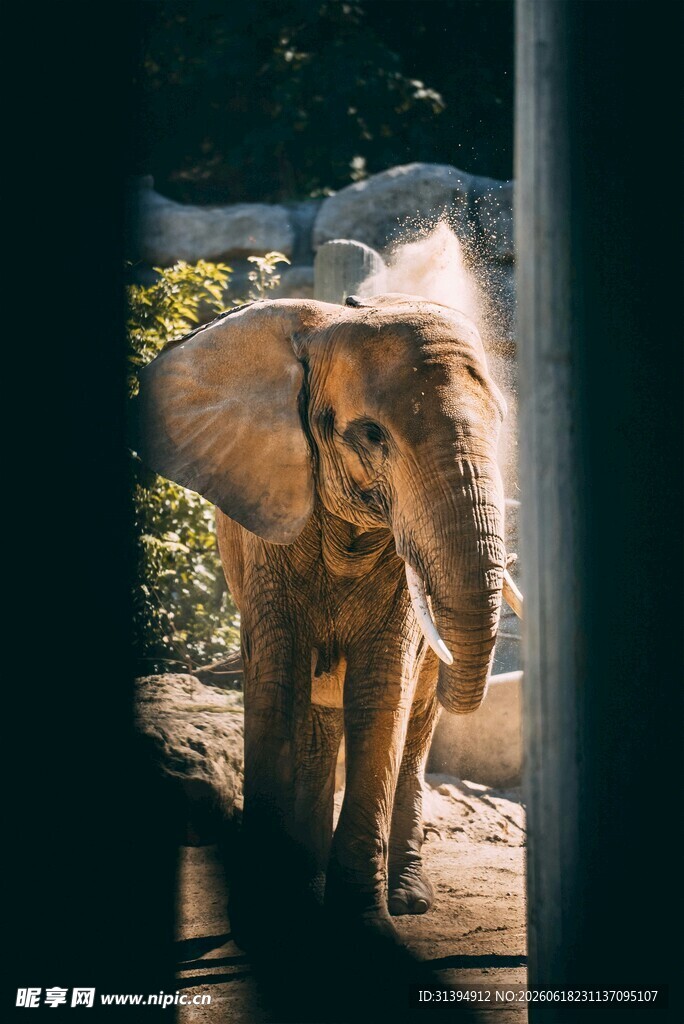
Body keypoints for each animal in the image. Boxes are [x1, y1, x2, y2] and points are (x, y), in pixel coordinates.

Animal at [137, 292, 509, 949]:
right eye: (371, 434)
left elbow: (381, 692)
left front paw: (366, 932)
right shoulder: (268, 530)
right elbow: (276, 684)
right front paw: (266, 922)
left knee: (412, 726)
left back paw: (408, 898)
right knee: (316, 718)